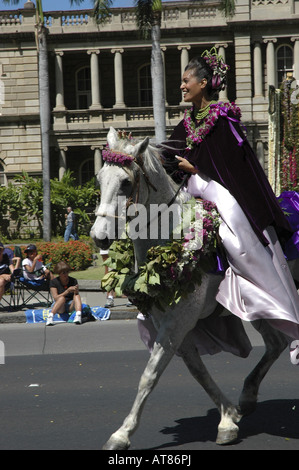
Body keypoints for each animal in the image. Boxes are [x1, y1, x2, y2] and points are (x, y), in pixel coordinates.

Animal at [91, 126, 288, 450]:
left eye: (126, 182)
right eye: (99, 179)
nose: (99, 237)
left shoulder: (178, 321)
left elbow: (149, 375)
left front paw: (122, 433)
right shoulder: (172, 324)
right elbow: (196, 370)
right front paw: (228, 417)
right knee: (276, 343)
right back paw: (247, 397)